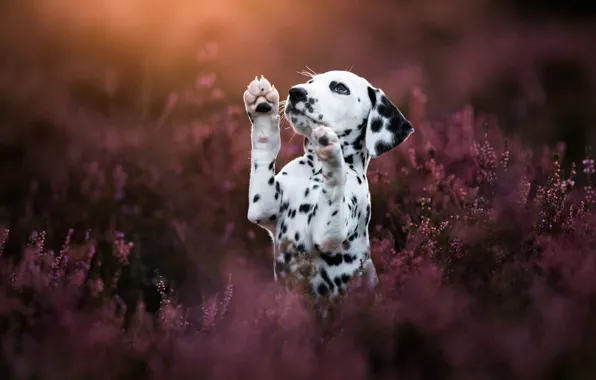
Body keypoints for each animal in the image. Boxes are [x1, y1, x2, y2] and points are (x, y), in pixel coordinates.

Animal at [244, 70, 412, 298]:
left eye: (340, 88)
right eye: (310, 81)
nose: (296, 92)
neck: (314, 170)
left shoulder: (328, 232)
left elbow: (334, 185)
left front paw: (332, 154)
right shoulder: (263, 207)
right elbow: (264, 146)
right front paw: (262, 107)